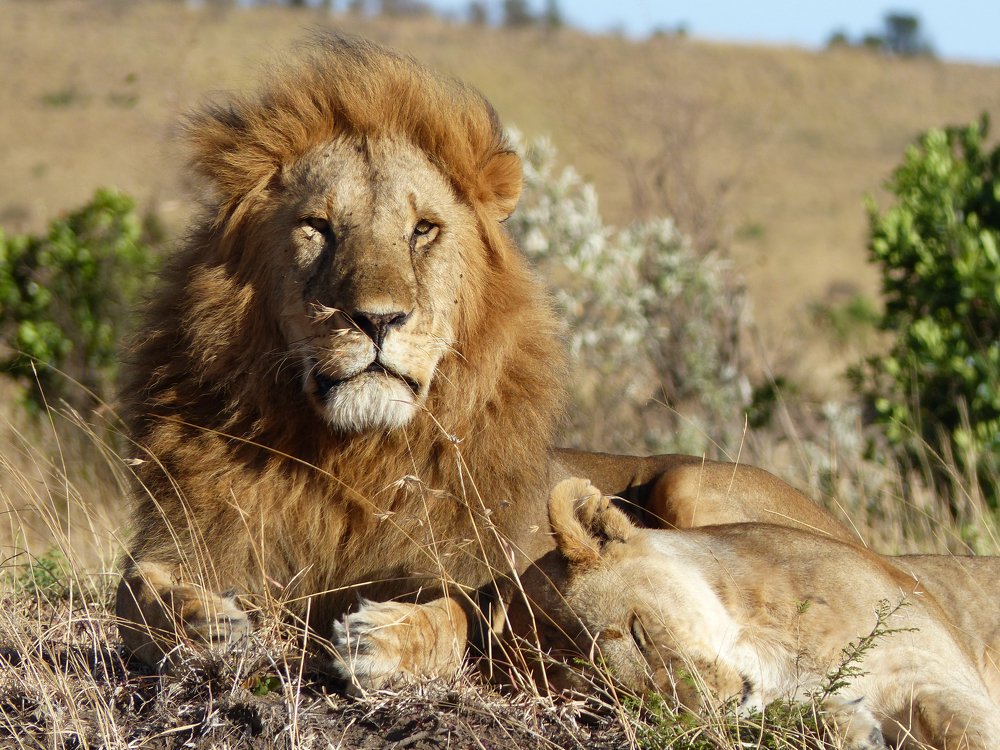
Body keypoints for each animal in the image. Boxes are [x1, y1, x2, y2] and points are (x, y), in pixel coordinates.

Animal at [113, 33, 909, 691]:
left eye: (423, 230)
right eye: (318, 228)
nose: (378, 319)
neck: (349, 461)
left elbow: (455, 615)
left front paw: (383, 639)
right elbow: (134, 596)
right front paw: (205, 622)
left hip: (690, 480)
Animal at [541, 479, 1000, 750]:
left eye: (638, 633)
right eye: (624, 703)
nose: (714, 711)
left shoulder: (942, 678)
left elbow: (964, 731)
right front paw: (847, 726)